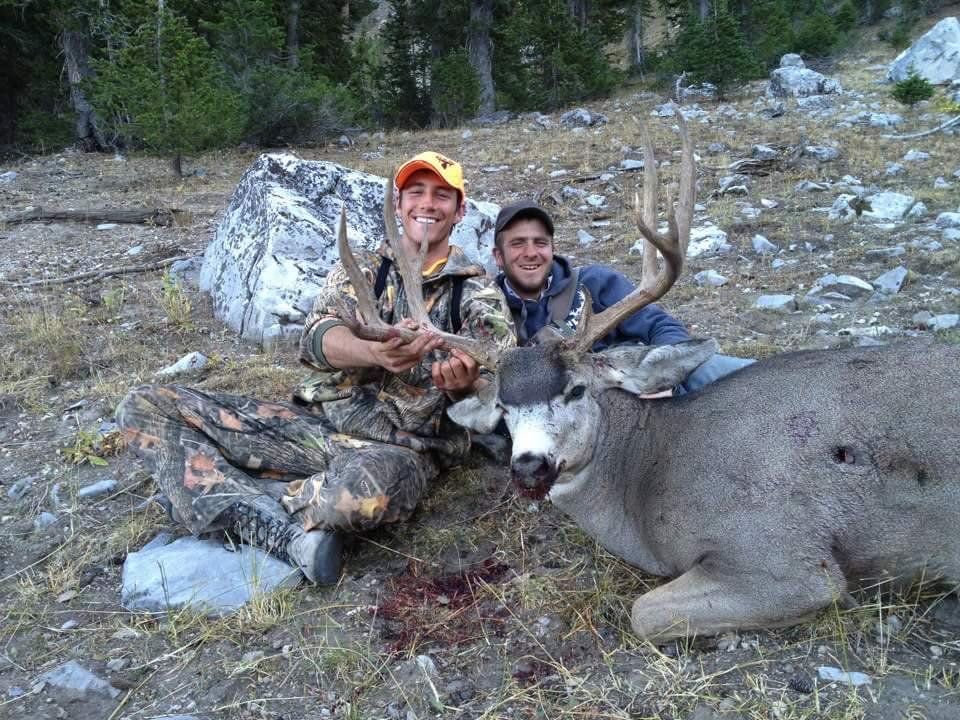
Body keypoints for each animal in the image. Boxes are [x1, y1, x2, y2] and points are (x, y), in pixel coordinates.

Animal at [335, 124, 960, 641]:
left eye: (577, 389)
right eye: (505, 408)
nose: (529, 467)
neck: (651, 473)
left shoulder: (786, 556)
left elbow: (644, 613)